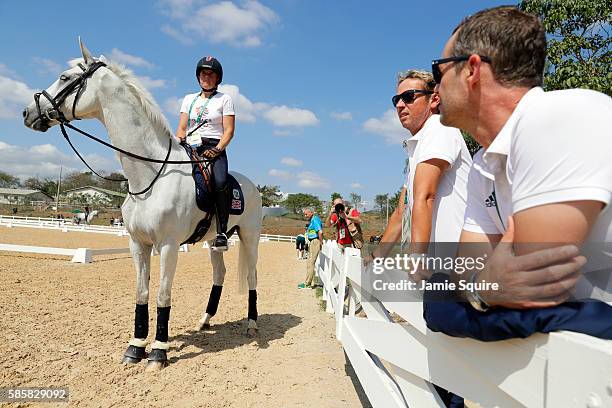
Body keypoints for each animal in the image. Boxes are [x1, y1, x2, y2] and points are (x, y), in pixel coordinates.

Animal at [22, 39, 262, 372]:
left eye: (64, 77)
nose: (27, 112)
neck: (150, 175)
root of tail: (251, 184)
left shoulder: (169, 246)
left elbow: (162, 295)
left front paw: (159, 352)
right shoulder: (138, 244)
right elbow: (142, 293)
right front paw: (135, 347)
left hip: (250, 237)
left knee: (251, 276)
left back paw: (252, 325)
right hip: (215, 242)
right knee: (220, 274)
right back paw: (204, 321)